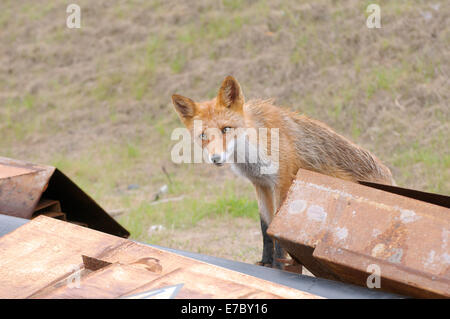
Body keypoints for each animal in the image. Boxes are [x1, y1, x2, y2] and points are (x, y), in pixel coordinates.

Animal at [172, 76, 394, 268]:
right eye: (203, 136)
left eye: (226, 129)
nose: (216, 158)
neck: (253, 151)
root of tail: (390, 178)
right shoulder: (260, 184)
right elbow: (265, 228)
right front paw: (265, 263)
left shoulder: (284, 182)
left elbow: (278, 230)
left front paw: (278, 266)